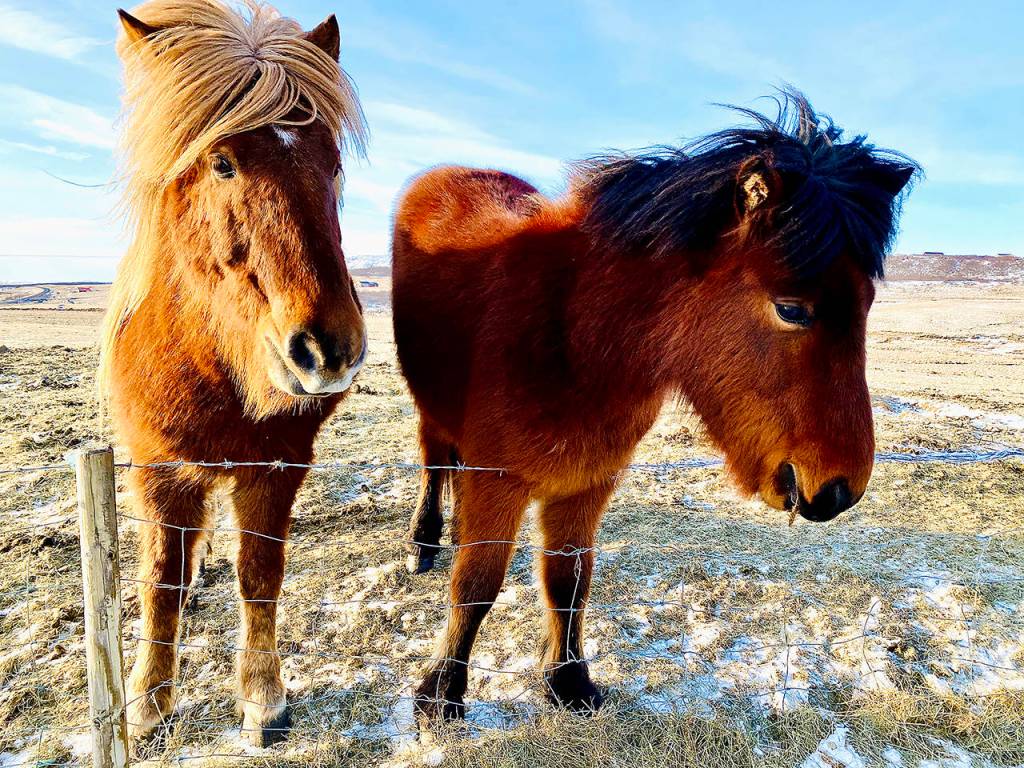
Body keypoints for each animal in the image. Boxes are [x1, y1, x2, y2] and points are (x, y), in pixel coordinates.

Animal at [101, 0, 367, 746]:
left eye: (334, 163)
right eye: (221, 162)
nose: (327, 350)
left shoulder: (276, 465)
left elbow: (260, 573)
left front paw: (262, 698)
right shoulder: (157, 466)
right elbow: (159, 579)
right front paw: (149, 702)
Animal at [391, 90, 918, 721]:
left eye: (867, 304)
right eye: (791, 308)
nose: (841, 490)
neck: (573, 335)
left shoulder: (587, 481)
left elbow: (569, 582)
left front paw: (569, 683)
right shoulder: (498, 479)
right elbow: (476, 585)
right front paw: (441, 693)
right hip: (430, 403)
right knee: (433, 460)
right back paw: (424, 541)